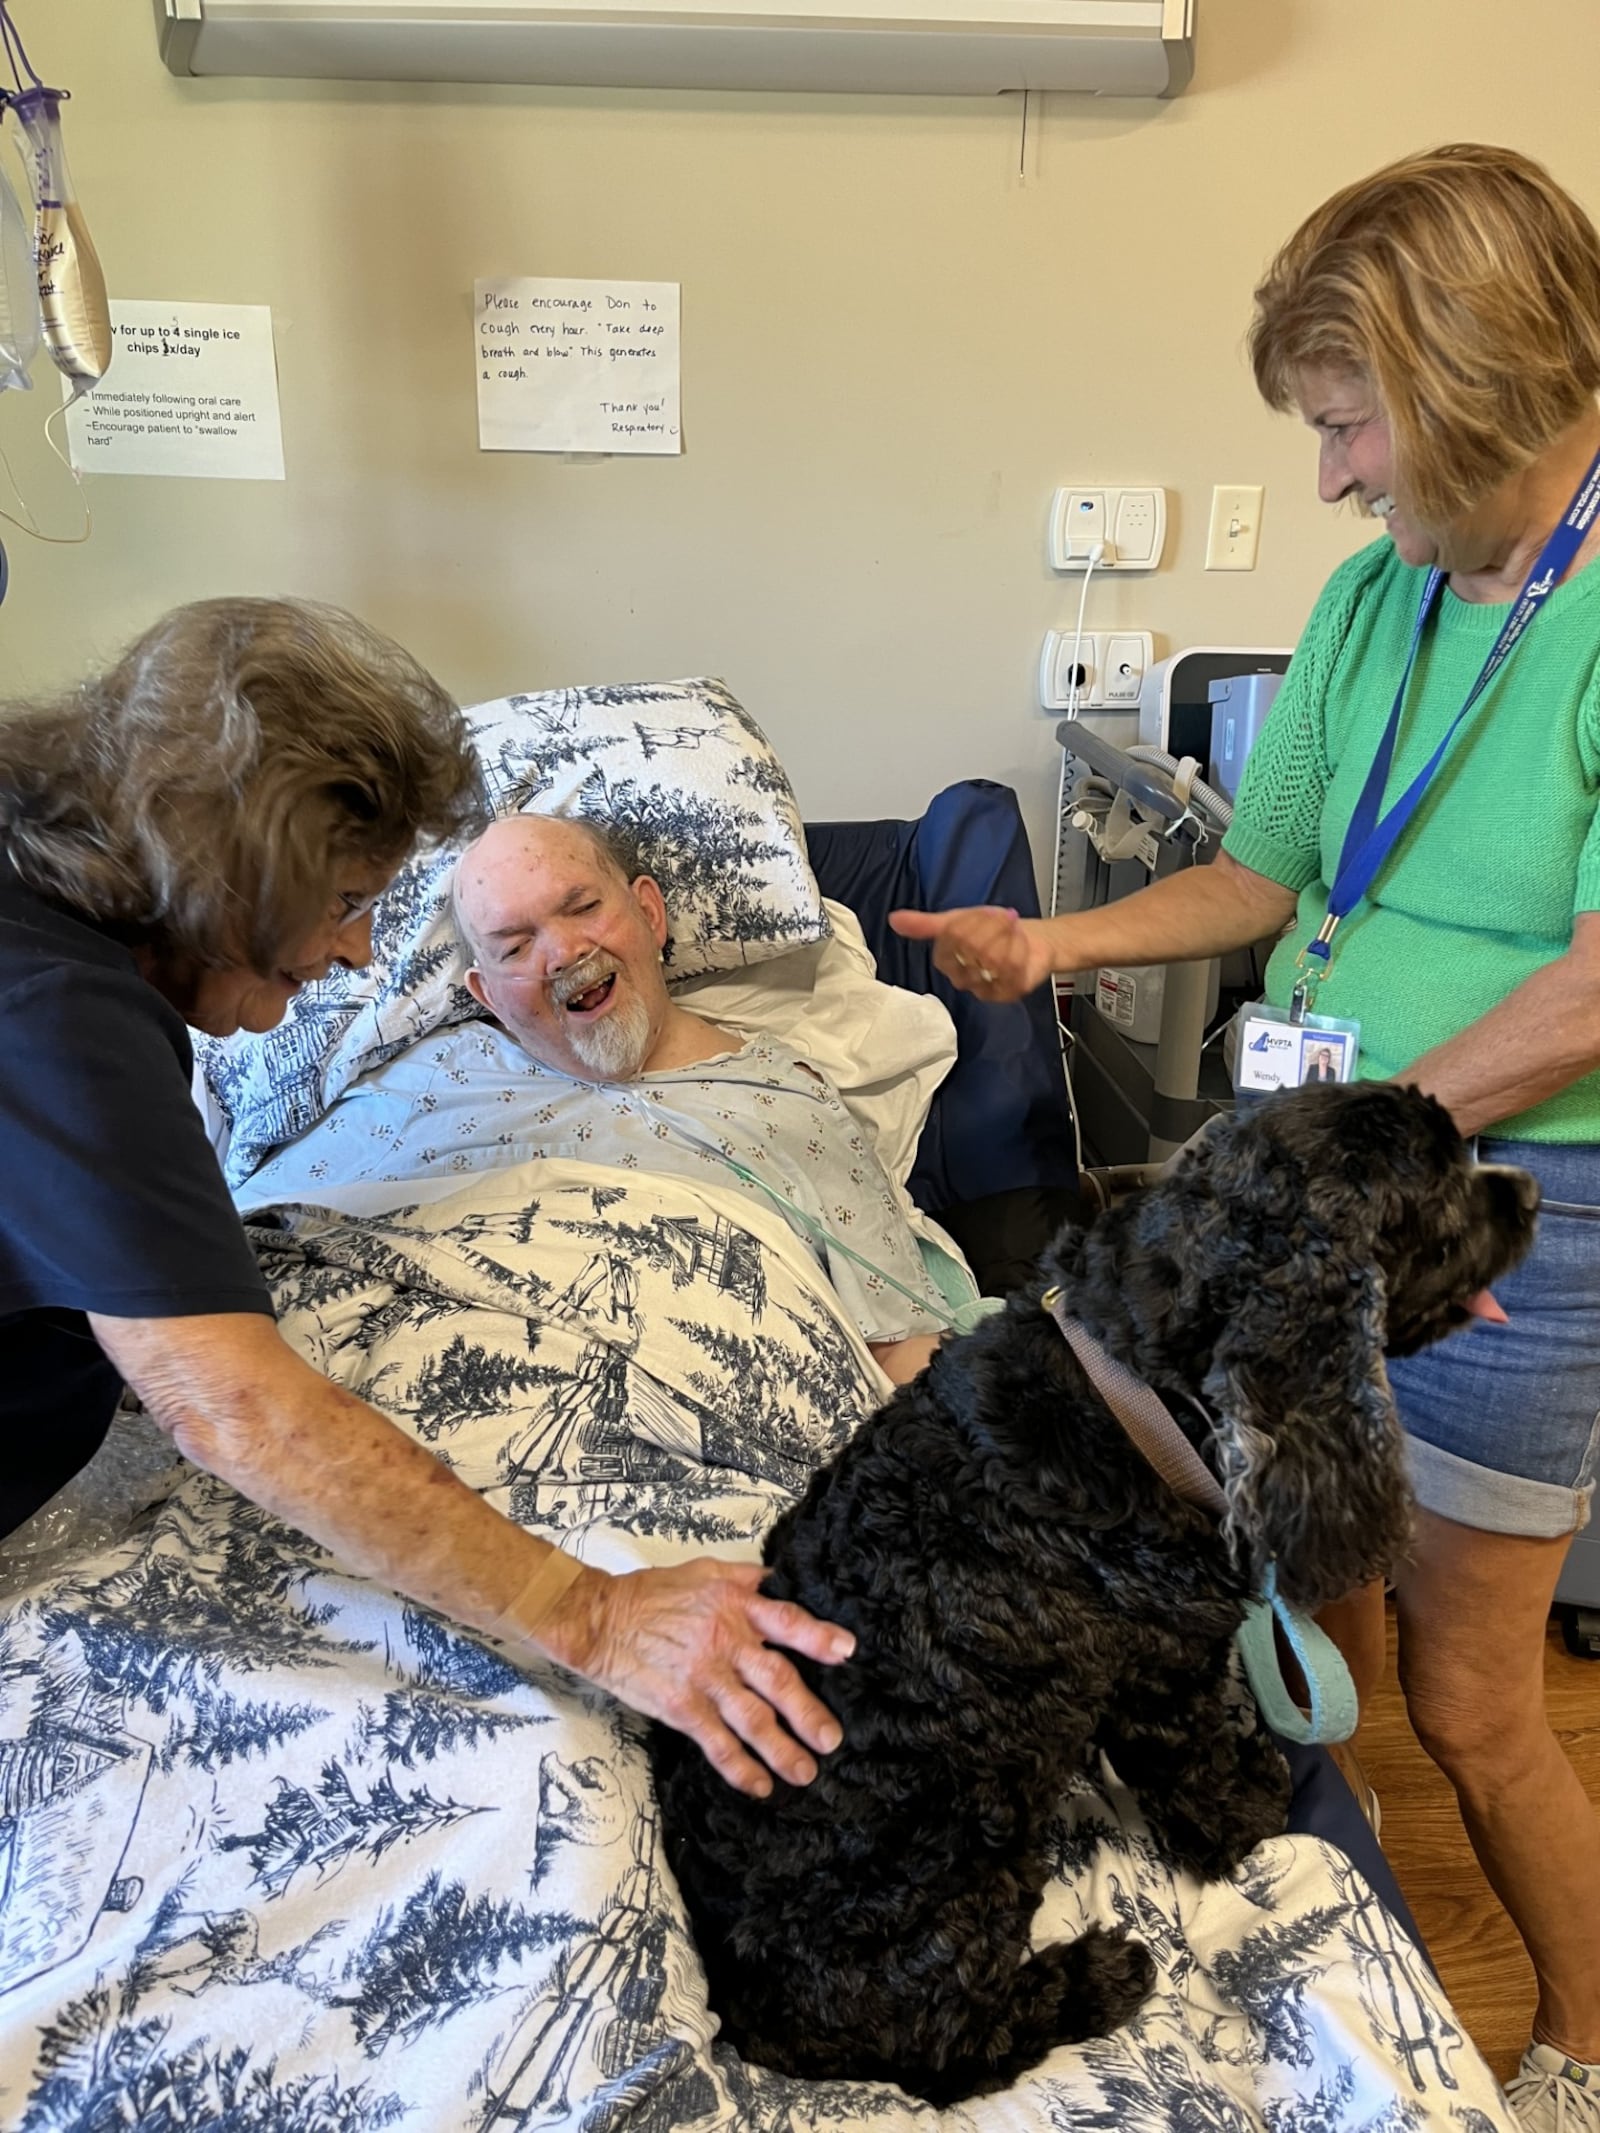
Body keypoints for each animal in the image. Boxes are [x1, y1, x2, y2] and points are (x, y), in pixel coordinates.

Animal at [652, 1083, 1544, 2098]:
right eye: (1441, 1187)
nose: (1530, 1191)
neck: (1129, 1398)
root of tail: (740, 2011)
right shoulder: (1165, 1672)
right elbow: (1197, 1767)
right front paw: (1251, 1807)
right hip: (965, 1866)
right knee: (958, 2042)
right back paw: (1096, 1976)